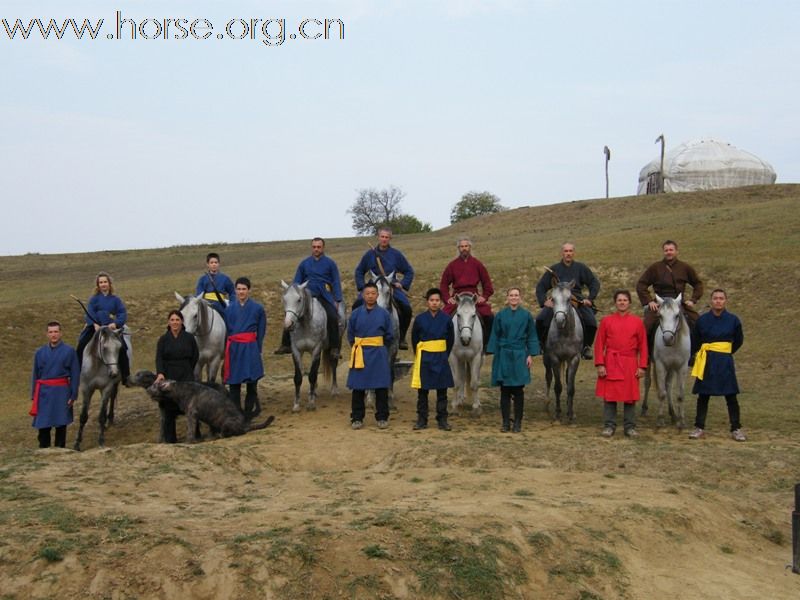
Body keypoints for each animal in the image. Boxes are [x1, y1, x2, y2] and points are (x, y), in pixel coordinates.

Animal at [282, 282, 344, 412]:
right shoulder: (296, 350)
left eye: (299, 299)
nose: (288, 324)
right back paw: (314, 390)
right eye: (284, 299)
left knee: (333, 363)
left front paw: (311, 403)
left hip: (337, 343)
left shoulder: (316, 348)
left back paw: (334, 390)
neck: (305, 324)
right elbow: (298, 377)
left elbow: (312, 375)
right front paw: (296, 404)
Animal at [544, 280, 580, 422]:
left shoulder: (574, 358)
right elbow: (558, 387)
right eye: (553, 299)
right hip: (547, 360)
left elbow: (570, 387)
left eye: (569, 299)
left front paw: (570, 413)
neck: (565, 334)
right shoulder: (554, 358)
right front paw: (558, 413)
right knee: (548, 377)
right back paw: (547, 404)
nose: (560, 321)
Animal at [640, 294, 692, 426]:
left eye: (677, 315)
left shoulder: (681, 367)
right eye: (660, 316)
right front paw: (660, 419)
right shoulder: (660, 365)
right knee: (648, 382)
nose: (668, 338)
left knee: (668, 385)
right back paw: (644, 408)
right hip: (649, 362)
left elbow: (680, 394)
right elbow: (662, 393)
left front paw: (681, 420)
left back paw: (673, 413)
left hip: (671, 368)